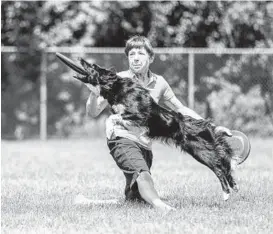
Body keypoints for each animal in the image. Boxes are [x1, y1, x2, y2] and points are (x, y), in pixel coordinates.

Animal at [73, 58, 237, 199]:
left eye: (92, 66)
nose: (81, 59)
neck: (116, 88)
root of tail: (206, 125)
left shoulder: (139, 115)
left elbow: (112, 117)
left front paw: (109, 130)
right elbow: (113, 118)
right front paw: (111, 131)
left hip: (201, 152)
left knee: (219, 168)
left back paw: (226, 194)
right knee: (225, 166)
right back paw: (234, 186)